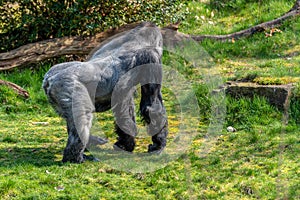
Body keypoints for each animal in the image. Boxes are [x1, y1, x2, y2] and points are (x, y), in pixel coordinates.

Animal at [42, 21, 169, 162]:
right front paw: (158, 144)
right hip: (68, 87)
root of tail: (50, 78)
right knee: (83, 119)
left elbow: (125, 108)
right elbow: (151, 106)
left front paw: (125, 144)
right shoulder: (151, 59)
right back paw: (75, 157)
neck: (138, 38)